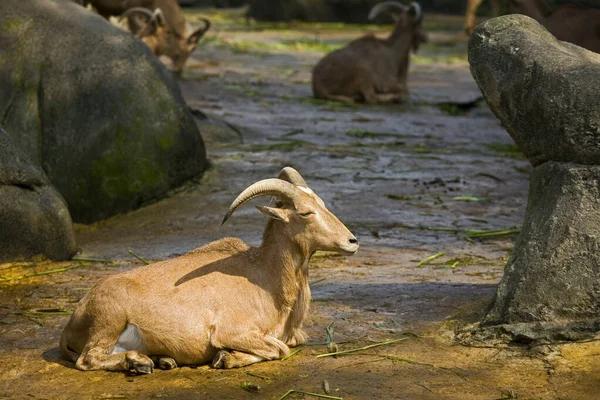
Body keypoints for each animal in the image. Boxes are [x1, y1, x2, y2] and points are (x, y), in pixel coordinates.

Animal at [59, 167, 360, 374]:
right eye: (306, 213)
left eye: (322, 205)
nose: (352, 241)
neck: (268, 279)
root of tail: (75, 317)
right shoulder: (230, 331)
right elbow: (279, 349)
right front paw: (225, 357)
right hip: (110, 320)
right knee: (88, 358)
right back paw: (139, 362)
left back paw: (159, 360)